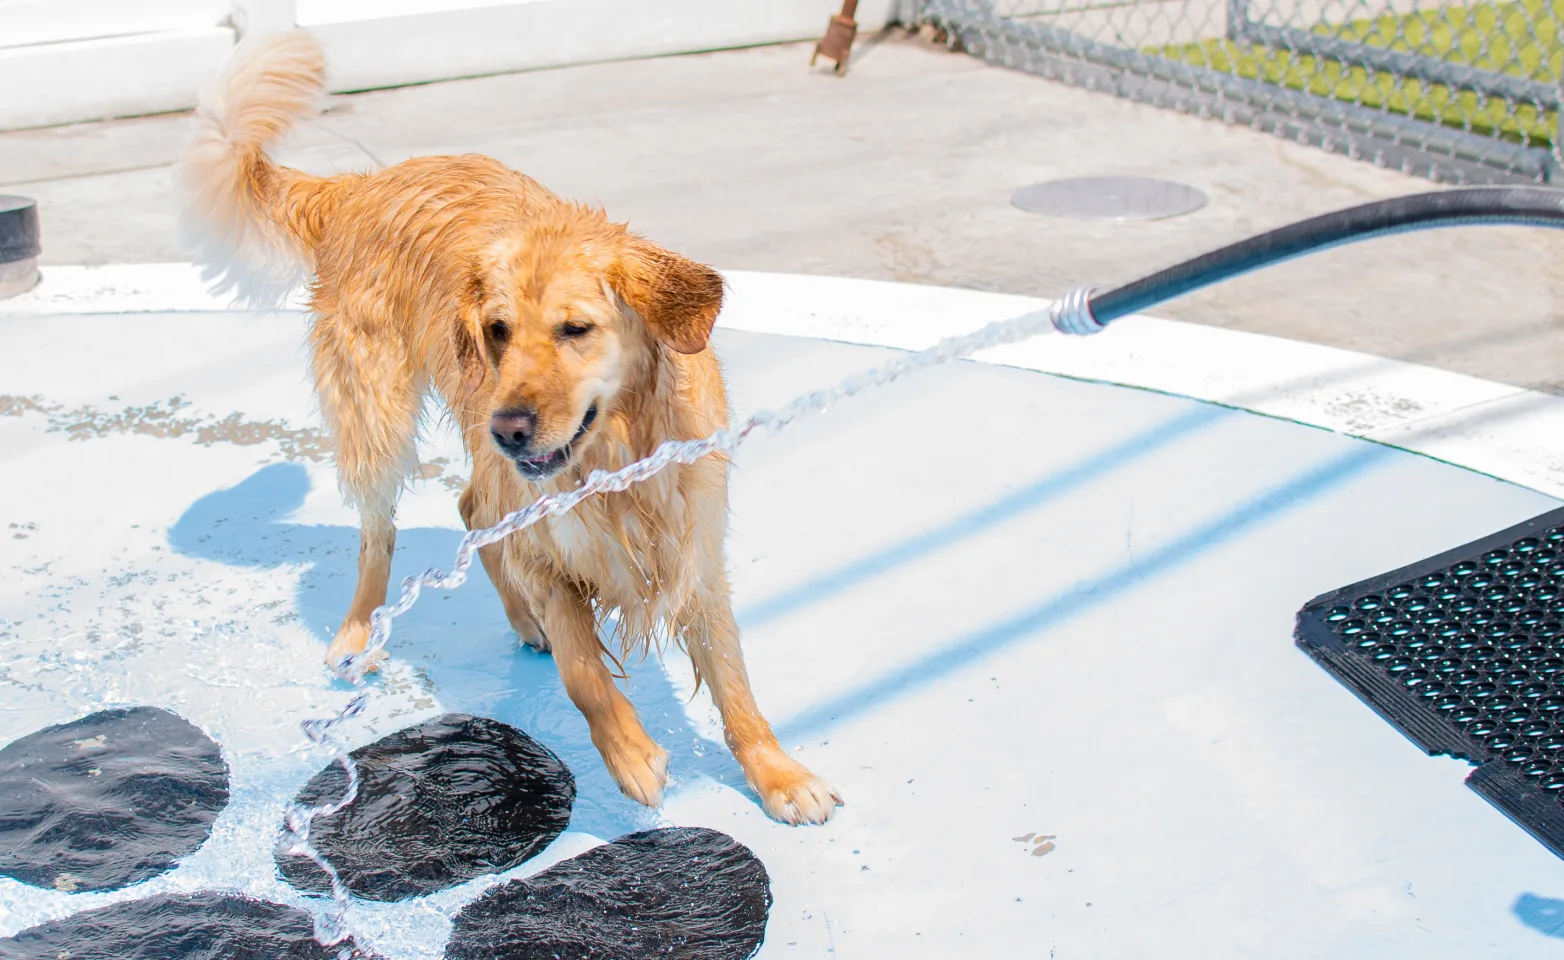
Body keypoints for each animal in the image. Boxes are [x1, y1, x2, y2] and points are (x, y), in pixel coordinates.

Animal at [179, 30, 844, 825]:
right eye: (497, 331)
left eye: (574, 329)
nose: (511, 428)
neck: (615, 462)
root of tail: (362, 184)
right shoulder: (546, 546)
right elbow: (583, 669)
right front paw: (631, 755)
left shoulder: (693, 550)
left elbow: (735, 683)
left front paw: (779, 774)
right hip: (379, 415)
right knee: (381, 534)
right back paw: (361, 633)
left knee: (472, 507)